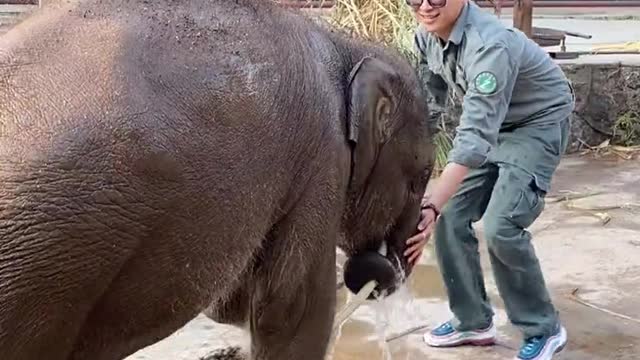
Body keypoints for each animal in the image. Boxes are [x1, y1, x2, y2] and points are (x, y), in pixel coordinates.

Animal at [0, 0, 436, 360]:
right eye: (421, 178)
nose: (383, 270)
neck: (346, 45)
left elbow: (234, 303)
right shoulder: (322, 157)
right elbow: (290, 310)